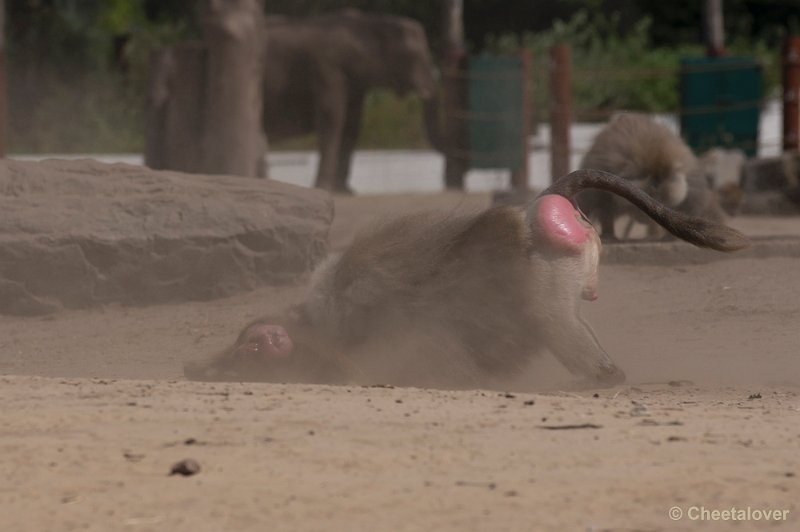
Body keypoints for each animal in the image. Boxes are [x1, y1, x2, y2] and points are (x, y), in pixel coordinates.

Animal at [262, 9, 440, 193]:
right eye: (412, 55)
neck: (369, 21)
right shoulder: (327, 67)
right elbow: (332, 119)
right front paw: (325, 188)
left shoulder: (356, 83)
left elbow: (352, 125)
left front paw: (345, 191)